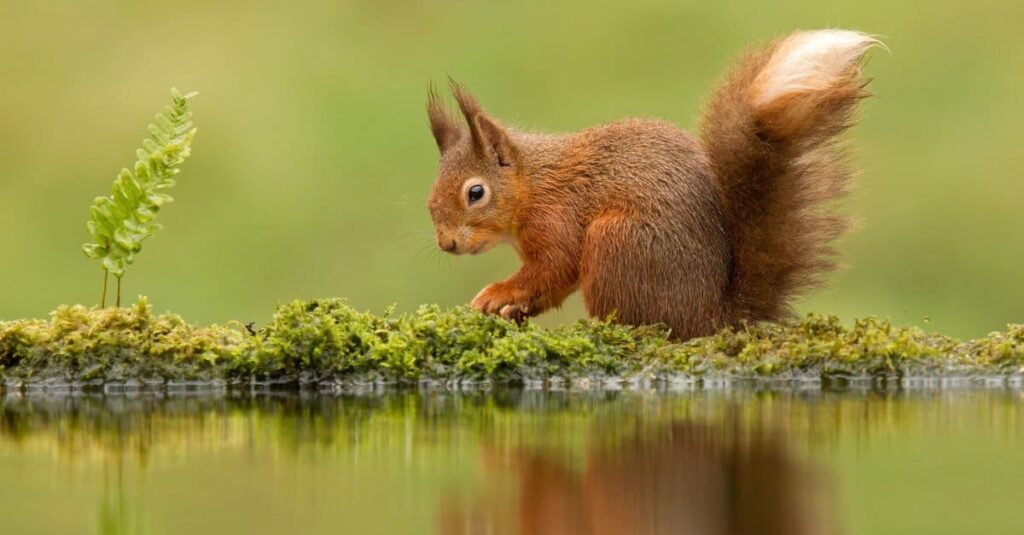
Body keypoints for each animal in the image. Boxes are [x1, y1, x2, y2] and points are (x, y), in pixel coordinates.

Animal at [423, 29, 880, 338]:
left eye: (475, 193)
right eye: (429, 200)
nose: (447, 244)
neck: (532, 184)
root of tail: (710, 316)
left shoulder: (557, 220)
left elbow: (554, 267)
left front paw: (497, 294)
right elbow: (553, 284)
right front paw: (512, 308)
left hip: (616, 241)